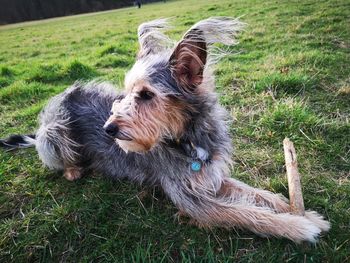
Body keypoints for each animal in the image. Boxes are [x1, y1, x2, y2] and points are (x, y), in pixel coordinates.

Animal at [0, 17, 330, 243]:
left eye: (146, 95)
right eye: (125, 93)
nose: (108, 128)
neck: (188, 140)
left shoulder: (210, 177)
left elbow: (259, 195)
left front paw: (299, 211)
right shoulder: (192, 199)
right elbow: (247, 214)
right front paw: (298, 227)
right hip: (55, 132)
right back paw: (73, 170)